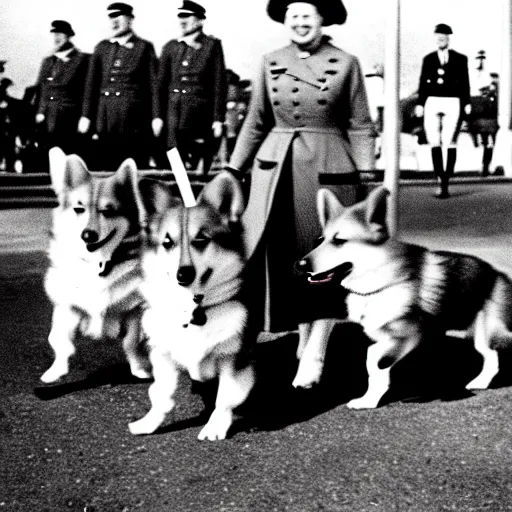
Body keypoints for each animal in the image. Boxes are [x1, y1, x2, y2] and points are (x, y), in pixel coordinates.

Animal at [41, 148, 149, 384]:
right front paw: (55, 371)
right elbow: (58, 340)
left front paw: (140, 369)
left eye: (107, 211)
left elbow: (132, 341)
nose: (88, 235)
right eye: (79, 209)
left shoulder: (135, 311)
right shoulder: (67, 307)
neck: (98, 262)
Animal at [128, 171, 256, 440]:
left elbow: (225, 398)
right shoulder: (162, 355)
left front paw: (215, 427)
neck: (193, 306)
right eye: (167, 243)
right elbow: (161, 395)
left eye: (201, 240)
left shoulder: (233, 358)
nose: (183, 274)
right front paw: (149, 423)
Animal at [294, 186, 512, 410]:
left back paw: (481, 381)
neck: (378, 283)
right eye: (319, 241)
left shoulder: (409, 334)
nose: (299, 265)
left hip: (484, 333)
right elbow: (375, 368)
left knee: (492, 356)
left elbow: (373, 356)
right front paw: (369, 399)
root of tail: (498, 273)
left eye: (339, 241)